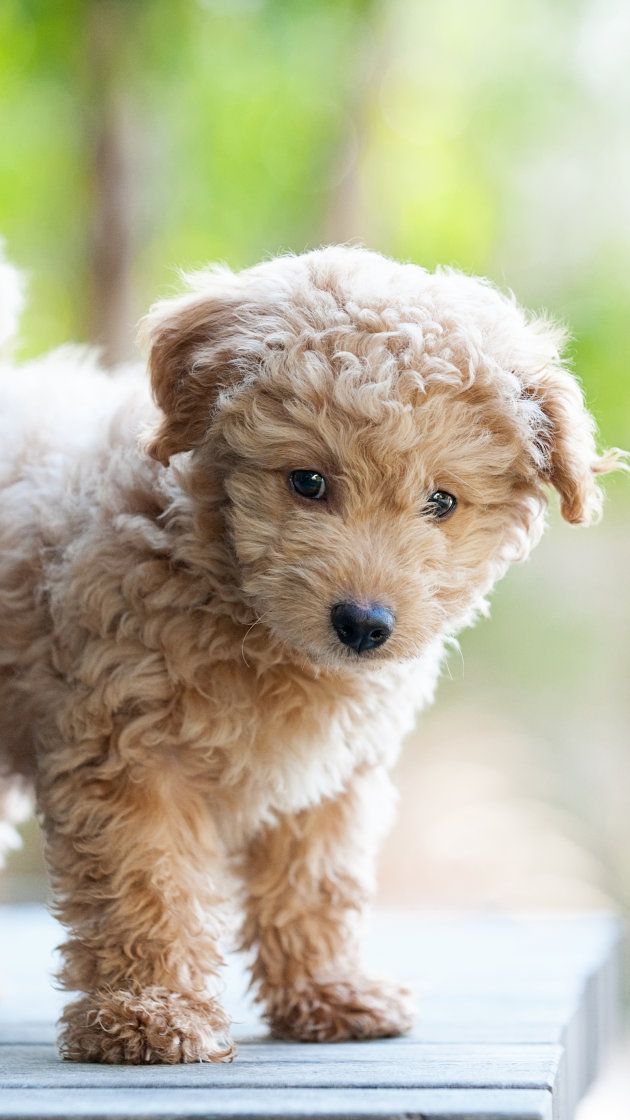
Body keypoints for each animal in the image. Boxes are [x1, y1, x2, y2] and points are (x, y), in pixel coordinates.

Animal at [0, 243, 618, 1057]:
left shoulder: (326, 779)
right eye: (308, 481)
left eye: (442, 502)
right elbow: (146, 883)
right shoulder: (125, 756)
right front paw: (151, 1010)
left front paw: (327, 993)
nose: (363, 623)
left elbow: (316, 883)